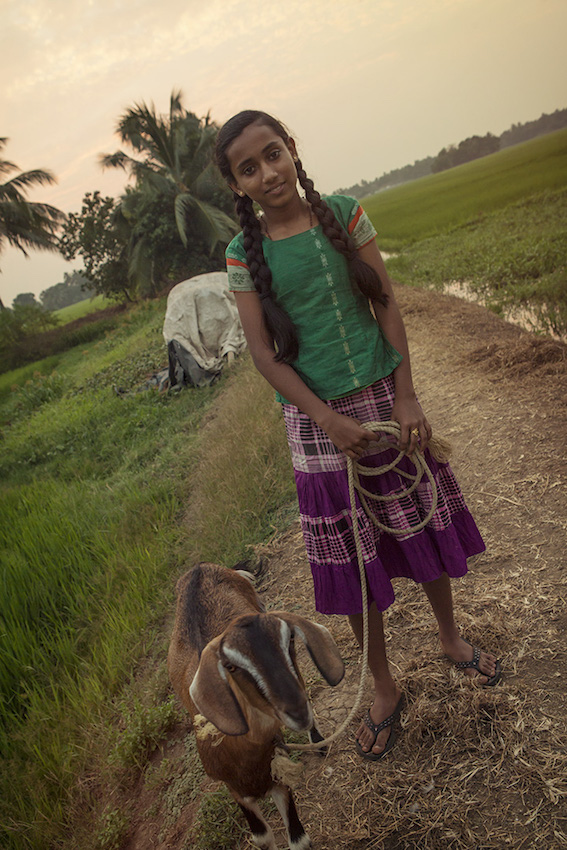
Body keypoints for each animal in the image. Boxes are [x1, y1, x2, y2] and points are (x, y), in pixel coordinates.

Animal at [168, 564, 346, 848]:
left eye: (290, 640)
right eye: (230, 666)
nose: (296, 712)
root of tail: (199, 567)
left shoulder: (277, 777)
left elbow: (299, 839)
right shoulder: (236, 791)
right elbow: (262, 838)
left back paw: (318, 741)